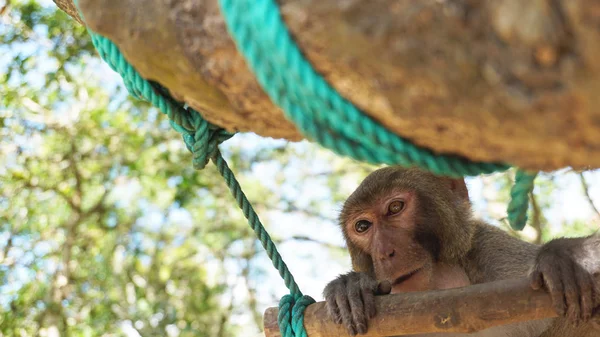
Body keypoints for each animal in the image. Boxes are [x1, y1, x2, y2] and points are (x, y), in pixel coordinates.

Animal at [324, 167, 600, 336]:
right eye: (362, 226)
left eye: (395, 208)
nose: (384, 252)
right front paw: (350, 285)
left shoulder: (498, 256)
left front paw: (572, 255)